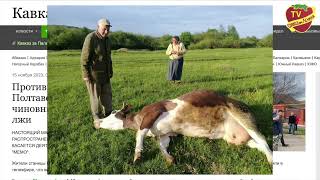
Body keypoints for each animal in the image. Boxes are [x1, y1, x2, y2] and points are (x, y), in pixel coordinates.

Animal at [98, 90, 272, 165]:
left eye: (113, 113)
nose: (97, 121)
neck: (137, 118)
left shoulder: (152, 112)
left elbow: (139, 134)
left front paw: (138, 155)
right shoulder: (165, 134)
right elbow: (162, 145)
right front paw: (169, 159)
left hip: (243, 117)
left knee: (263, 139)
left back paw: (271, 160)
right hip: (235, 138)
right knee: (258, 145)